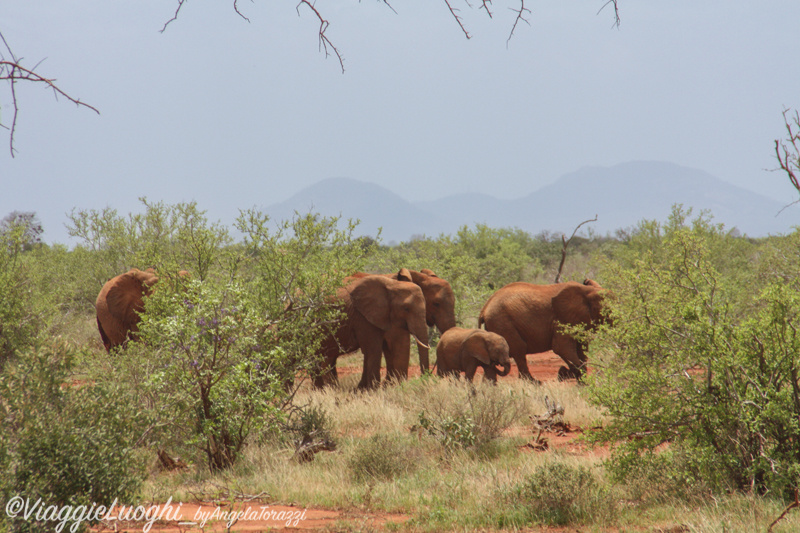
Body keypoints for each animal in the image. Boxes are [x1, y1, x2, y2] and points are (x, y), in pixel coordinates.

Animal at [478, 280, 608, 380]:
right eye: (607, 311)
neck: (588, 291)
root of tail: (484, 309)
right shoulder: (563, 320)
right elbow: (561, 348)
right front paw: (573, 377)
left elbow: (581, 350)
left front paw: (571, 376)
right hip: (503, 323)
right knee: (519, 350)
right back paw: (535, 383)